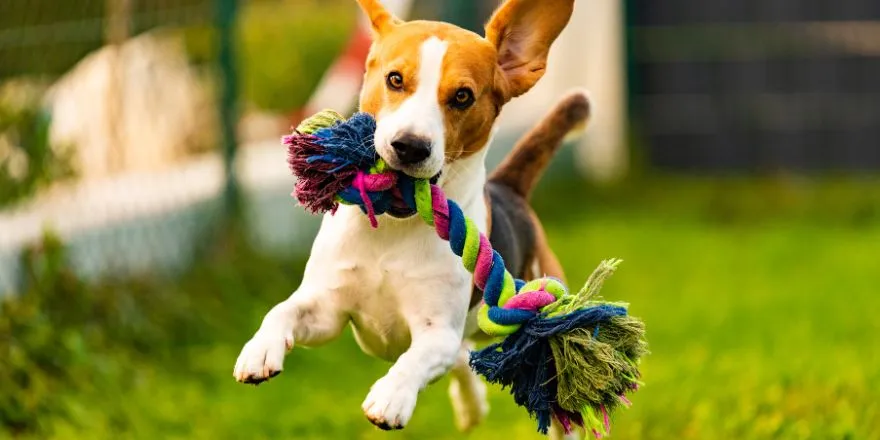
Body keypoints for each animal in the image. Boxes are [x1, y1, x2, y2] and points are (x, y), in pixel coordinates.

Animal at [237, 0, 588, 436]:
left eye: (462, 96)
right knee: (463, 361)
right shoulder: (328, 312)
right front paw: (259, 349)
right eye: (395, 79)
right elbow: (283, 310)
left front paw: (391, 397)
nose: (410, 146)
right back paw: (471, 406)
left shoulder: (437, 332)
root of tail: (510, 188)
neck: (392, 226)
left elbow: (414, 360)